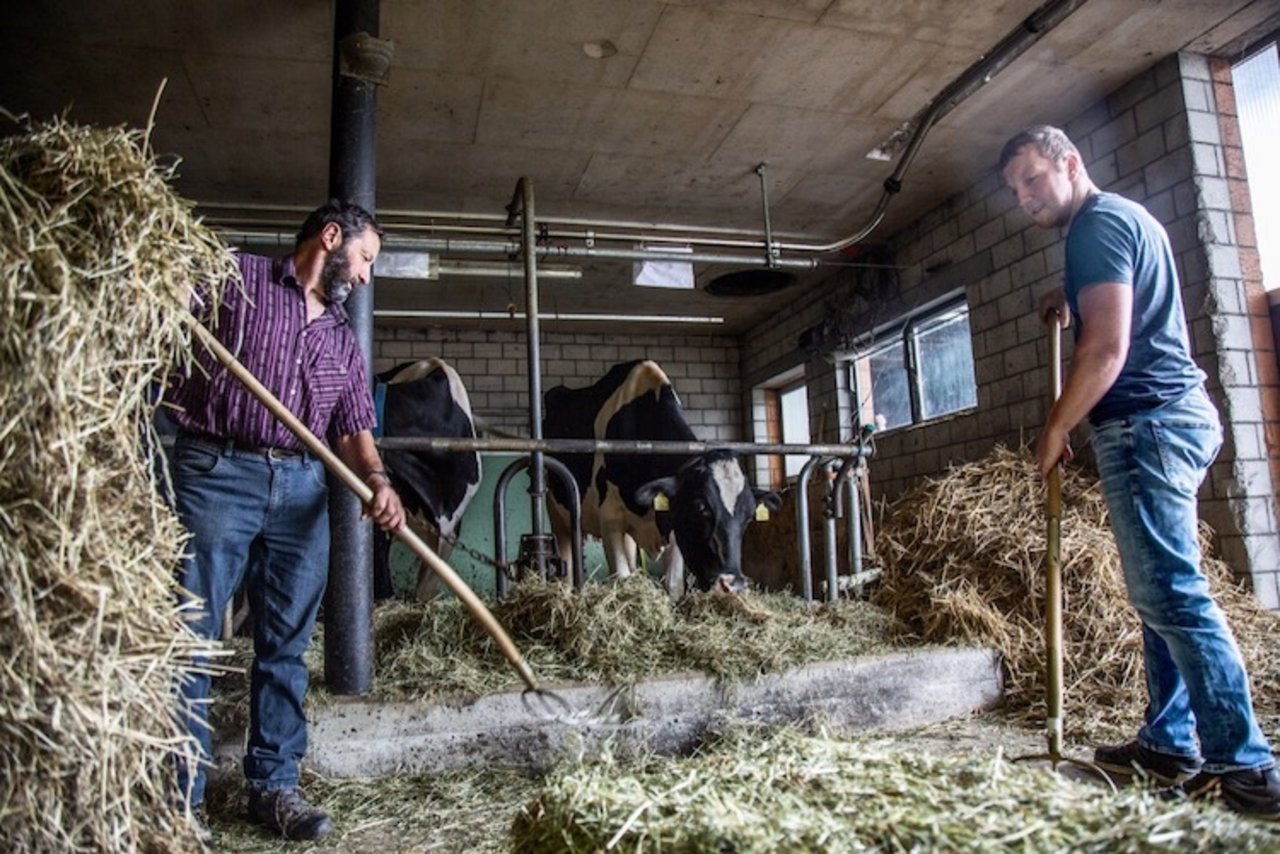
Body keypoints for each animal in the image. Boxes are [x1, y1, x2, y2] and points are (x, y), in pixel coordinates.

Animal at [542, 361, 778, 601]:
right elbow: (620, 576)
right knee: (567, 563)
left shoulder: (673, 522)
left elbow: (673, 585)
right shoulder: (610, 518)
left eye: (749, 515)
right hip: (556, 512)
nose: (732, 584)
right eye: (700, 507)